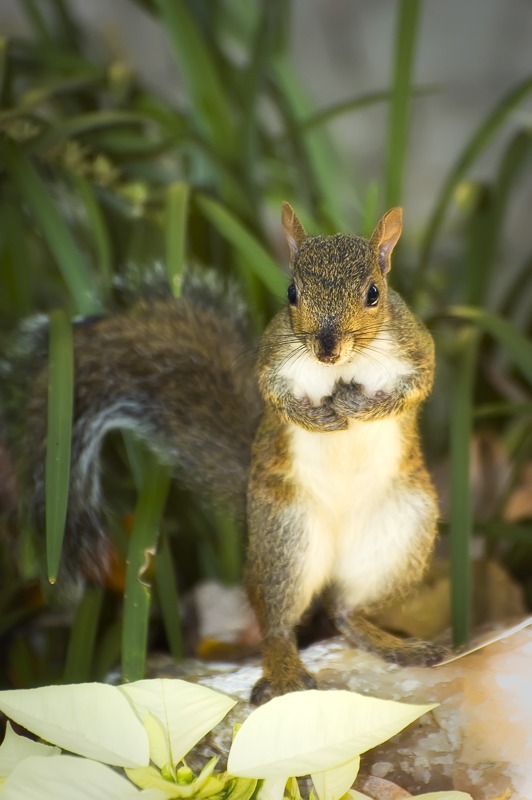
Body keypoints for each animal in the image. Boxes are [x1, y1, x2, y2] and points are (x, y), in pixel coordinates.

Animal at [0, 204, 447, 703]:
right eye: (291, 292)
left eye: (374, 293)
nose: (326, 348)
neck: (344, 367)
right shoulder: (272, 359)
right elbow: (275, 397)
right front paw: (316, 417)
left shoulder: (415, 349)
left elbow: (415, 389)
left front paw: (358, 406)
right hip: (286, 536)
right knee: (276, 621)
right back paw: (285, 672)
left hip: (399, 534)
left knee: (344, 611)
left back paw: (394, 644)